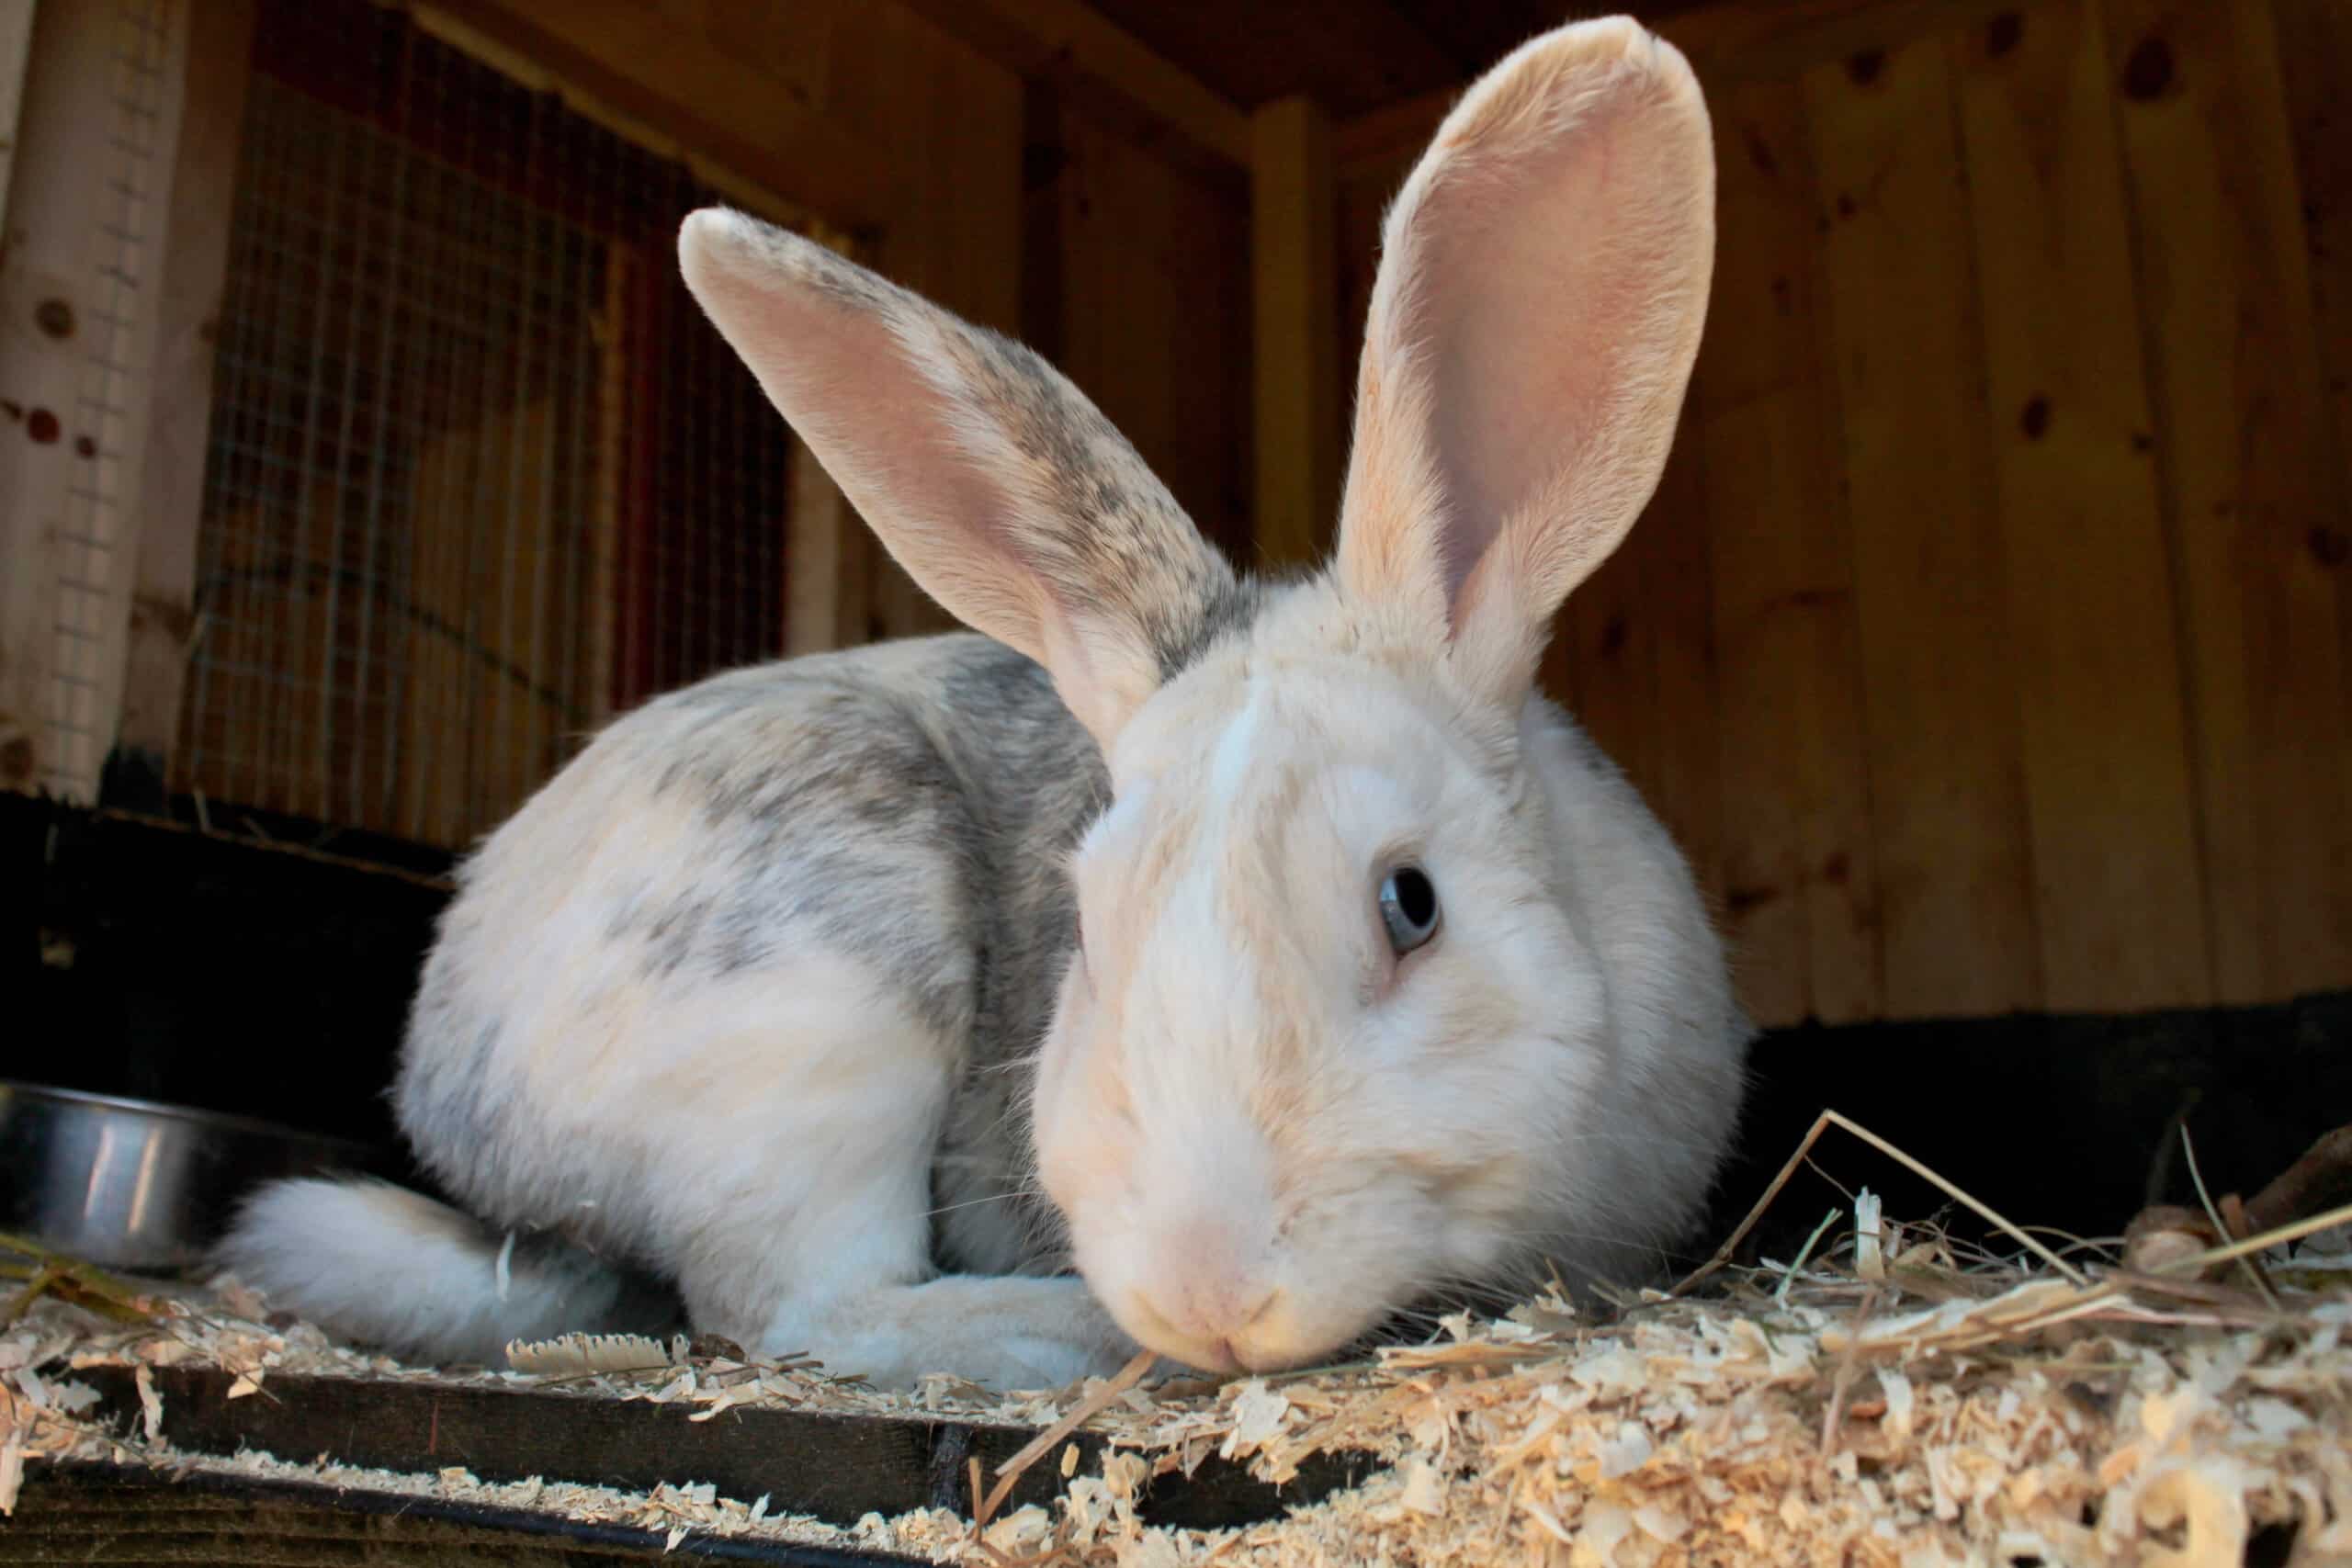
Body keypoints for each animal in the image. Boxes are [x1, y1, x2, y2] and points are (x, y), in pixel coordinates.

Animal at [220, 17, 1758, 1392]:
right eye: (1088, 927)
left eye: (1412, 903)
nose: (1208, 1290)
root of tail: (449, 1084)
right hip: (820, 1015)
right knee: (798, 1305)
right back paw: (1057, 1332)